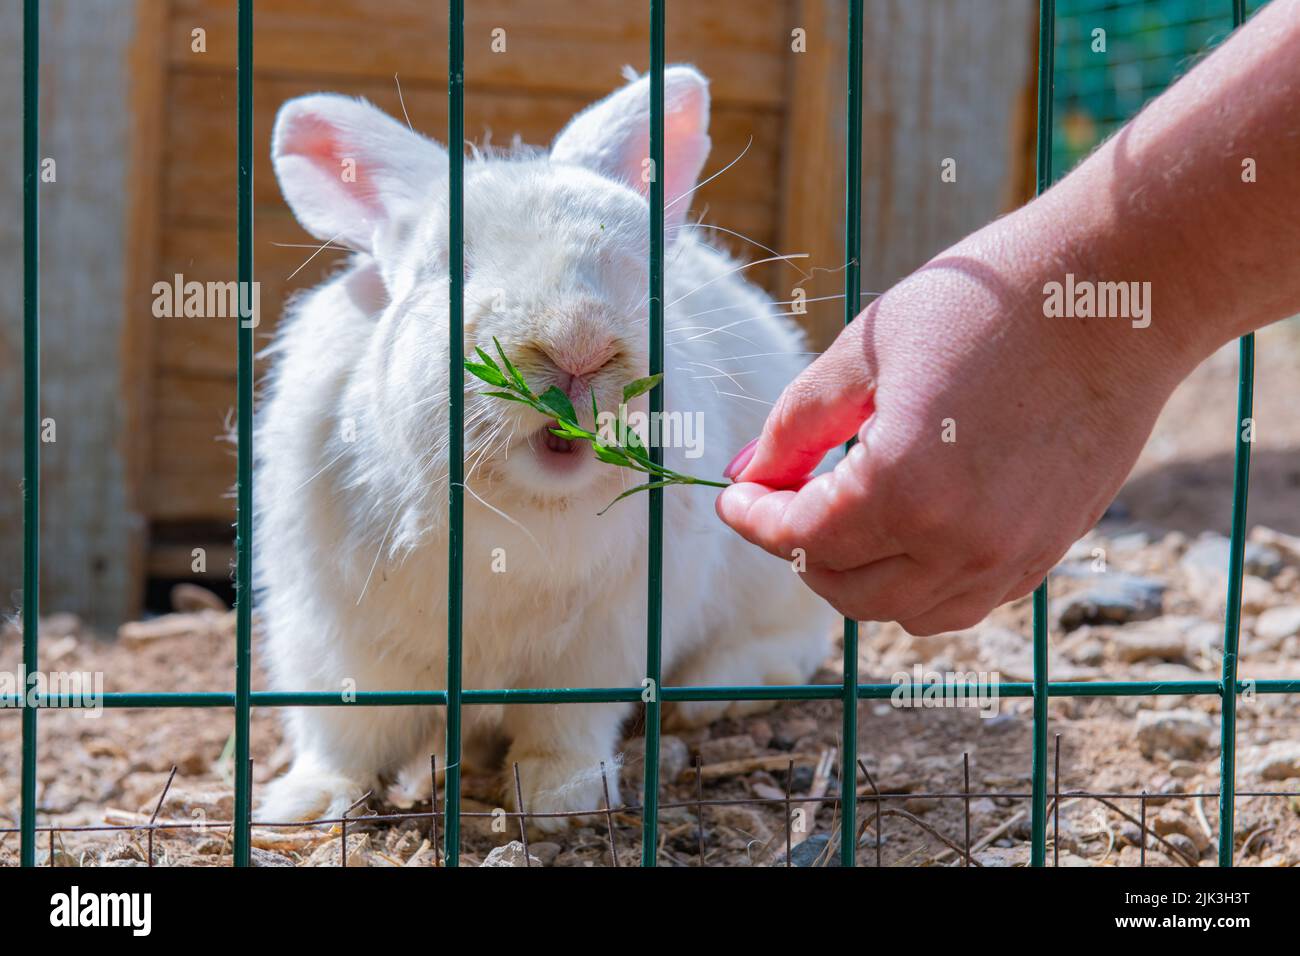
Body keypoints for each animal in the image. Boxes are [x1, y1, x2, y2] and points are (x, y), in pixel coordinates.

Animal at [255, 65, 836, 828]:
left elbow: (567, 725)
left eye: (639, 265)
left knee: (787, 649)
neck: (516, 516)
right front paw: (303, 804)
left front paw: (560, 800)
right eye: (452, 265)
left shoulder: (603, 645)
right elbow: (343, 732)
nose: (578, 342)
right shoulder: (335, 642)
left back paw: (709, 694)